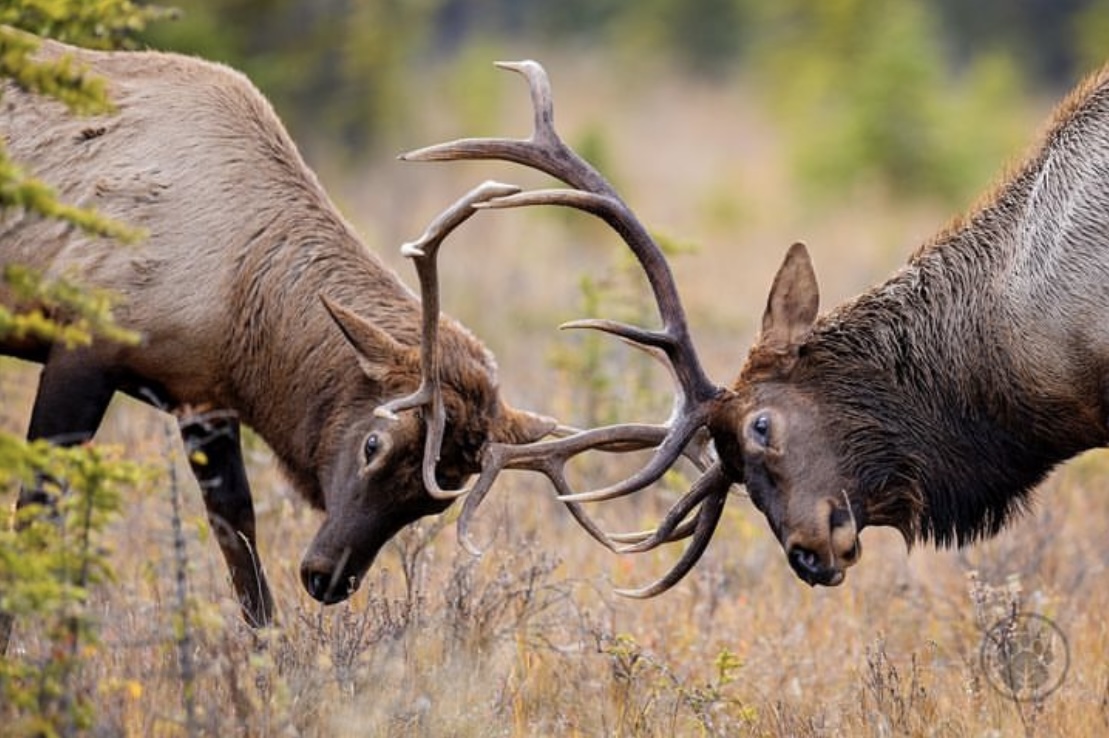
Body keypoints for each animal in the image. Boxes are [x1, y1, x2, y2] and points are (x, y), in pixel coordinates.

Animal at [0, 34, 563, 634]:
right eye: (373, 443)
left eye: (437, 499)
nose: (328, 579)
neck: (237, 303)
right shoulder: (83, 342)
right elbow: (35, 507)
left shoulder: (202, 396)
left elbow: (238, 532)